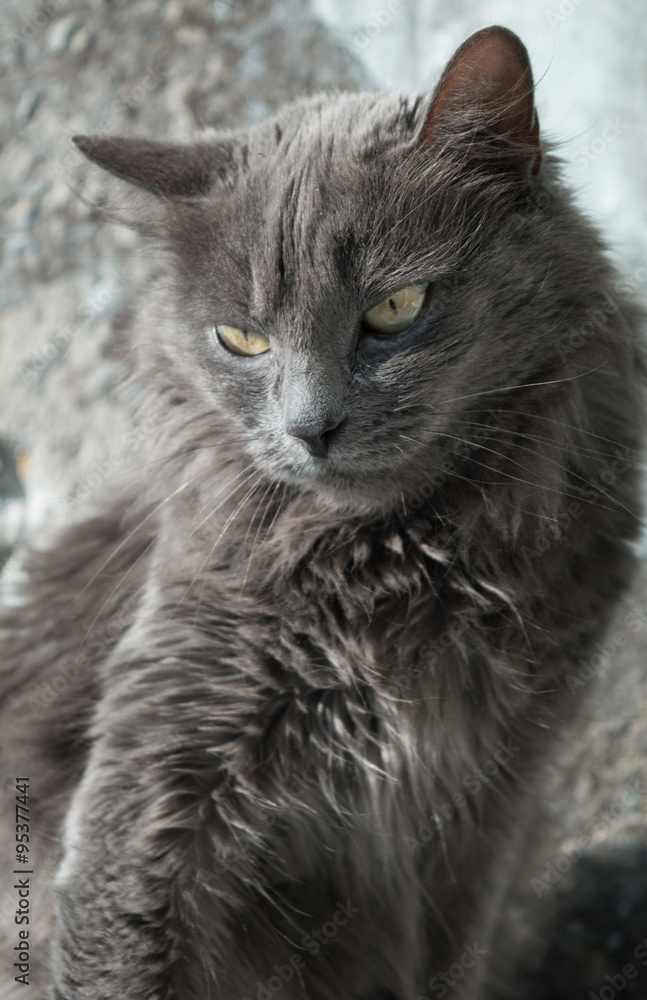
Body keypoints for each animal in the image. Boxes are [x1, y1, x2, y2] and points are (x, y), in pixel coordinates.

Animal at [0, 23, 644, 1000]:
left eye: (396, 308)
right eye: (241, 338)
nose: (311, 427)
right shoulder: (153, 782)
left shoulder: (485, 806)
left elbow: (447, 961)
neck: (399, 571)